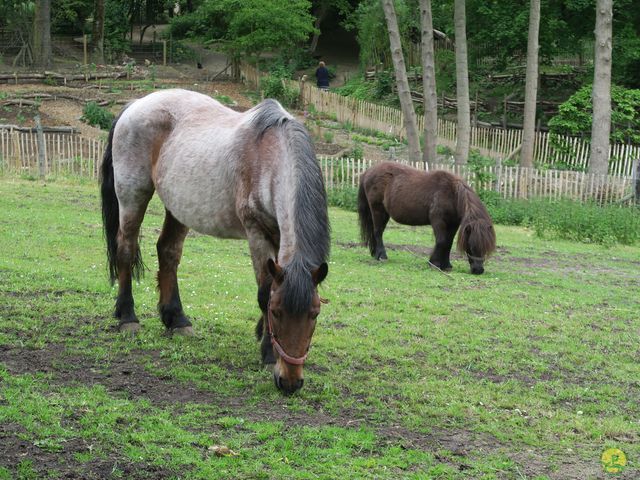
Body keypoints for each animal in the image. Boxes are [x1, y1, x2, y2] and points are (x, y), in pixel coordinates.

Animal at [358, 161, 498, 274]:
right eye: (471, 246)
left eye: (486, 248)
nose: (478, 270)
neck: (452, 194)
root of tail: (368, 172)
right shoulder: (438, 221)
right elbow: (441, 241)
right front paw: (434, 263)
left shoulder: (453, 224)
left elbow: (448, 243)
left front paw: (446, 265)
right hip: (378, 210)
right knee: (378, 232)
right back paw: (381, 256)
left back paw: (375, 254)